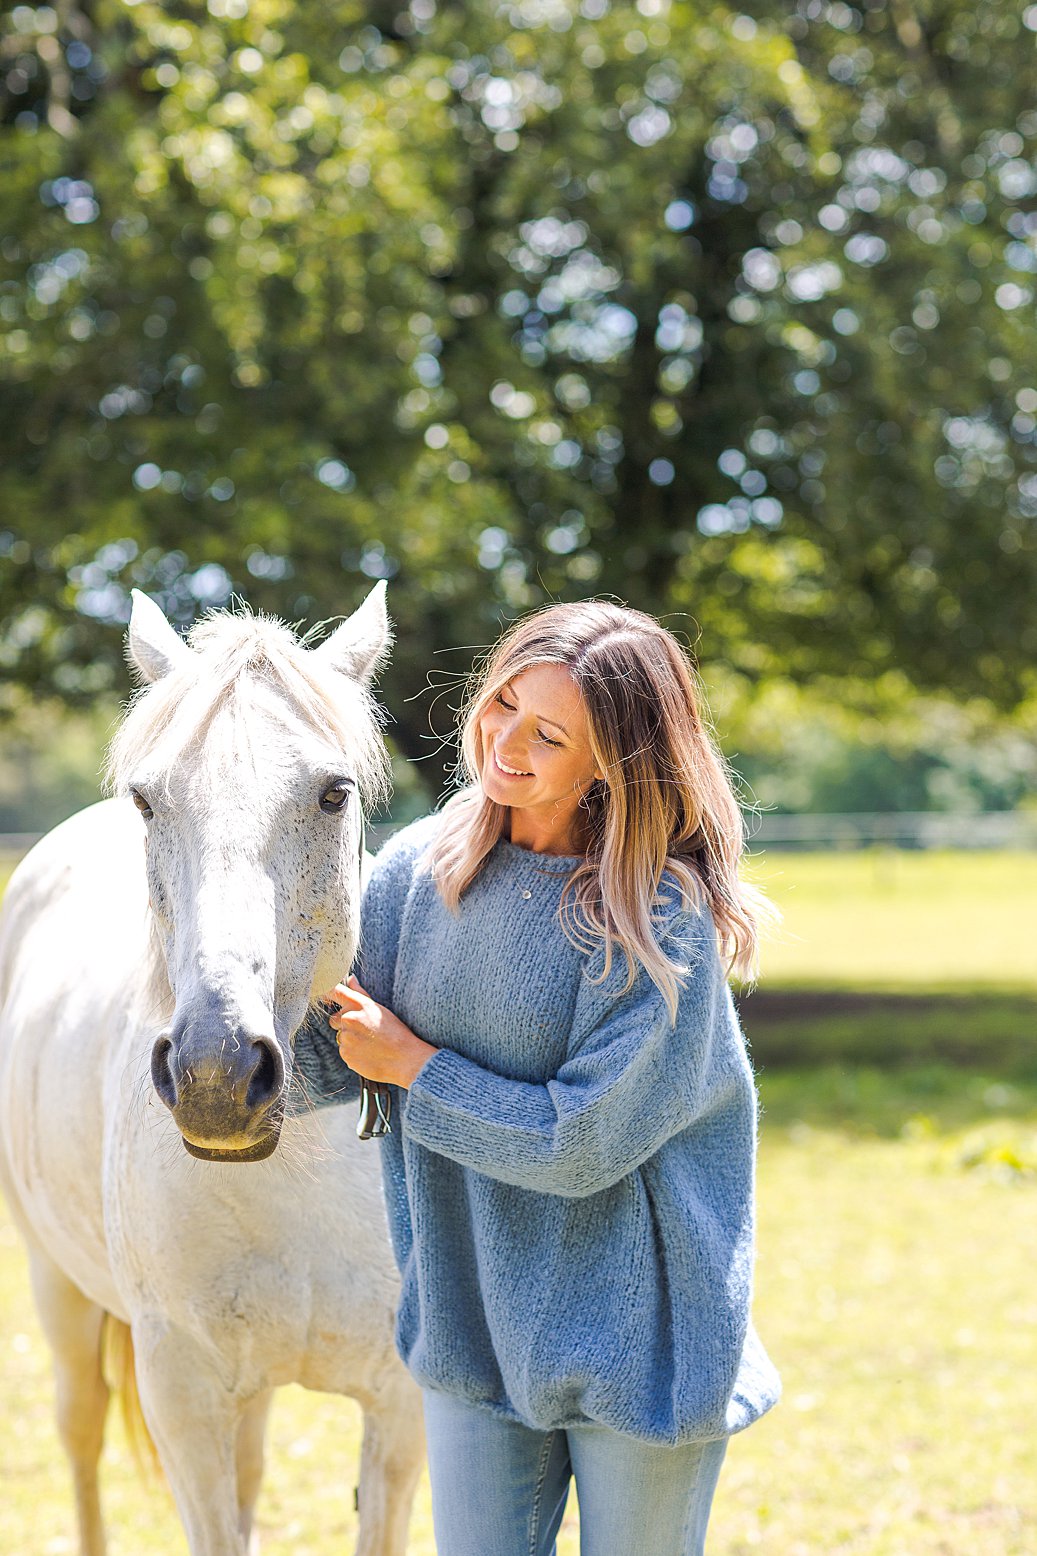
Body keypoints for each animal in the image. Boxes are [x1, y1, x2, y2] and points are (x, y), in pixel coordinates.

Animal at [0, 585, 423, 1556]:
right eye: (148, 801)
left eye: (334, 794)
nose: (216, 1075)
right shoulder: (183, 1401)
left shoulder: (402, 1412)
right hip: (56, 1288)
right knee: (81, 1437)